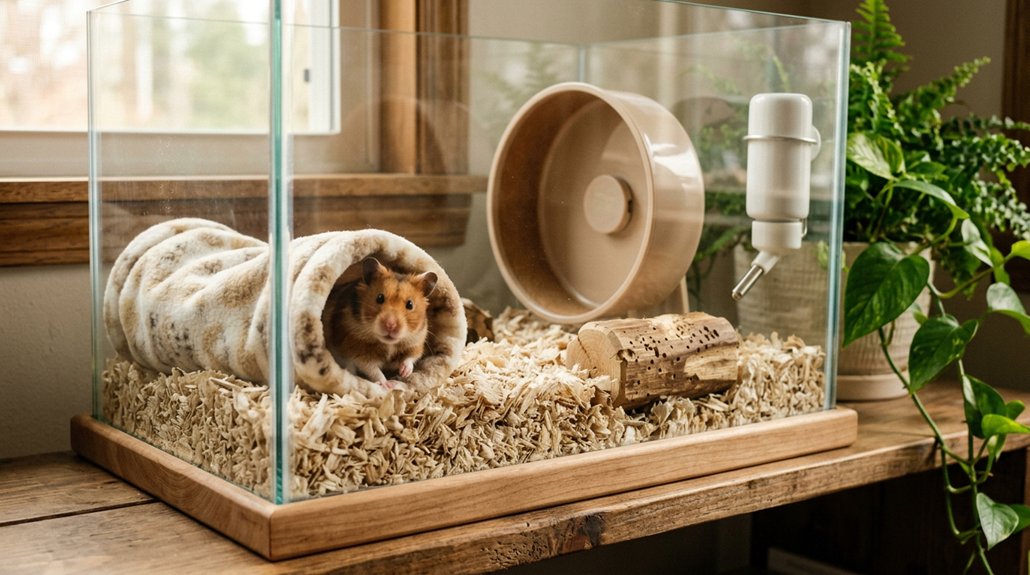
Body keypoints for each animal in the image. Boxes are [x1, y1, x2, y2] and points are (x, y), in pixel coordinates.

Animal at [324, 257, 437, 387]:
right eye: (379, 298)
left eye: (410, 304)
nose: (390, 325)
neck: (389, 344)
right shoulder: (357, 351)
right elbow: (373, 370)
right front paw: (387, 384)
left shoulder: (416, 342)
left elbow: (411, 357)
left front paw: (404, 372)